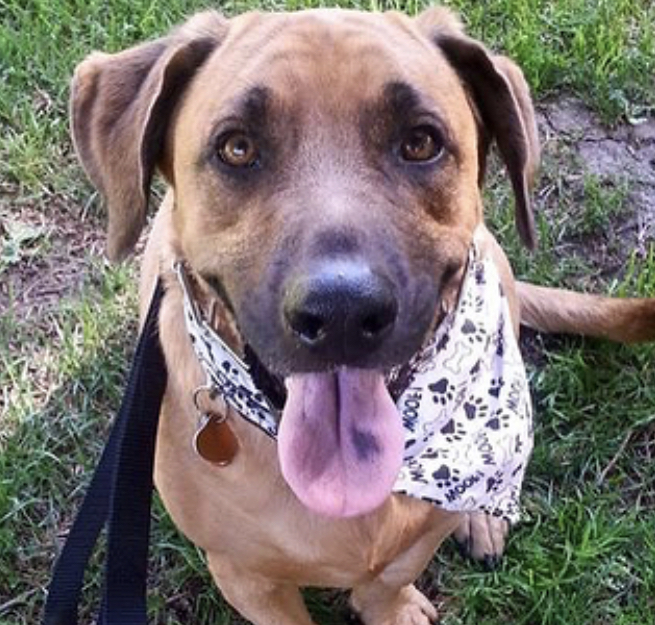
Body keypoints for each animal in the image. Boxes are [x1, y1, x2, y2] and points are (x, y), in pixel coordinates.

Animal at [72, 6, 655, 624]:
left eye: (421, 142)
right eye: (236, 148)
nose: (342, 313)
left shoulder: (418, 536)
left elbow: (388, 581)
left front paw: (397, 603)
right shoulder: (243, 576)